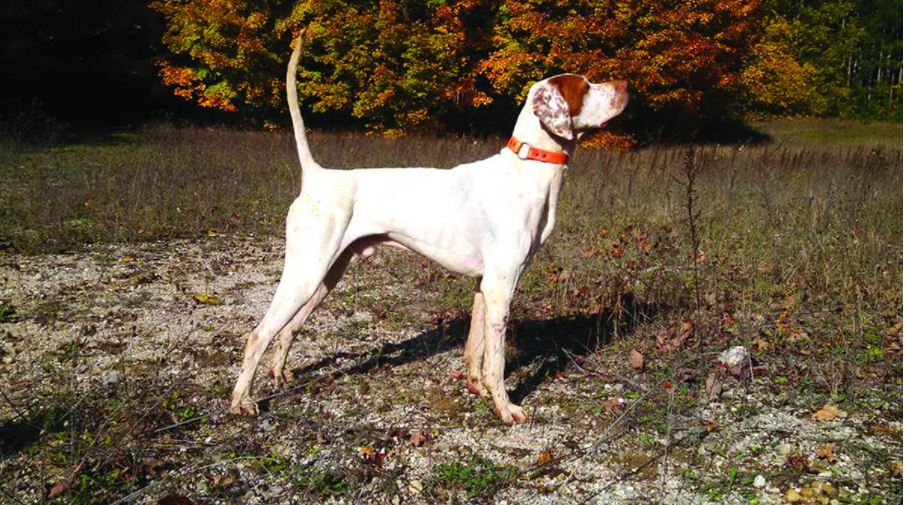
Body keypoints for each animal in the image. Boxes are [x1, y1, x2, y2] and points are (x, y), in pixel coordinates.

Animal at [230, 34, 624, 422]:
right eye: (585, 86)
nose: (625, 85)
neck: (526, 169)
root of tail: (316, 176)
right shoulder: (502, 286)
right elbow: (495, 362)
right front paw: (505, 407)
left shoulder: (483, 286)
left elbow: (475, 351)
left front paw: (477, 389)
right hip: (305, 273)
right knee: (258, 335)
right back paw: (242, 402)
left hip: (326, 276)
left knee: (288, 328)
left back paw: (280, 373)